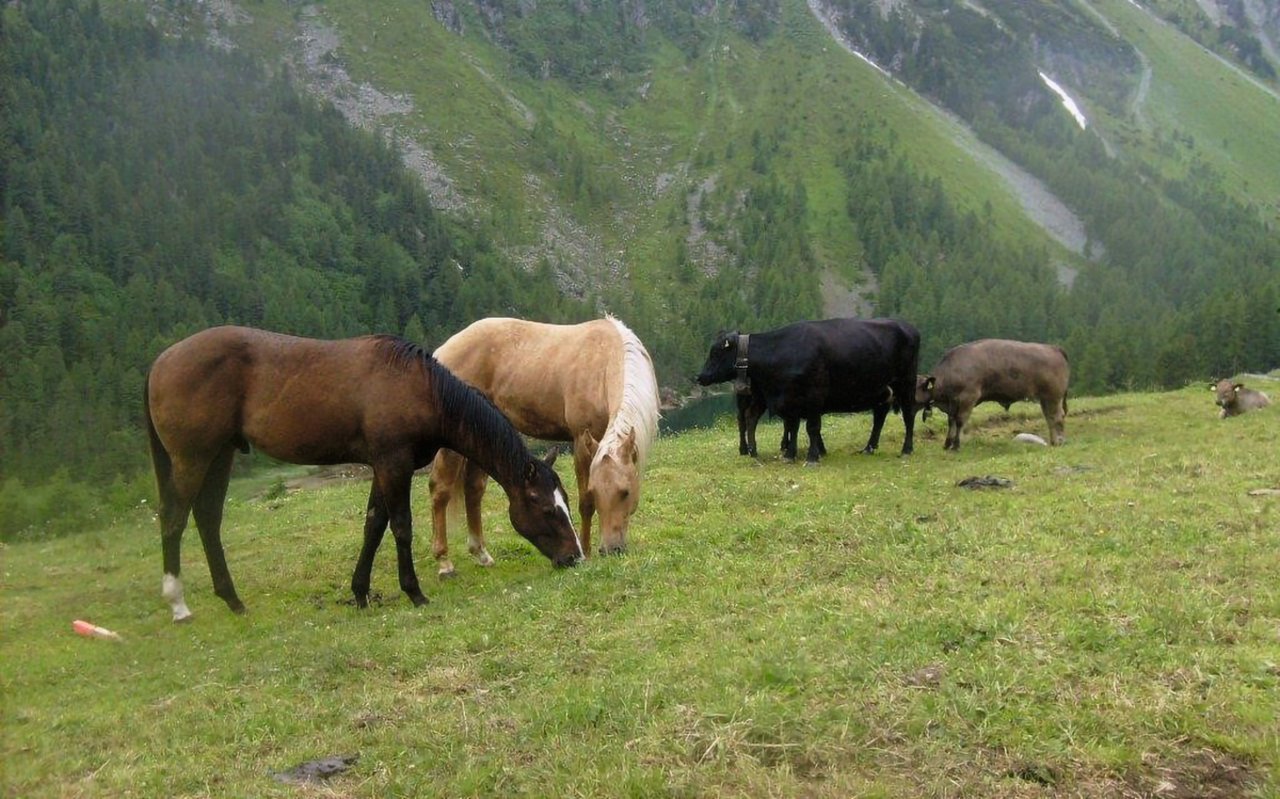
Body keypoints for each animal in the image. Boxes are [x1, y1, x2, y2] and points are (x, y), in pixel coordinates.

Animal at [145, 326, 581, 624]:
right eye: (546, 509)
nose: (575, 557)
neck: (419, 388)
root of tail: (161, 361)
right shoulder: (393, 464)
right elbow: (401, 526)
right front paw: (414, 591)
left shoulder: (381, 467)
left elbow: (373, 525)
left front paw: (360, 593)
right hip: (193, 458)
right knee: (173, 518)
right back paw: (178, 603)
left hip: (220, 456)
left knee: (207, 519)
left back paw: (232, 599)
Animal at [430, 314, 660, 571]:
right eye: (596, 491)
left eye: (625, 492)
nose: (611, 549)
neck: (602, 361)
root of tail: (442, 352)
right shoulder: (580, 443)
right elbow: (585, 504)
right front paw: (586, 552)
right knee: (440, 489)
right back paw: (444, 562)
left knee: (473, 489)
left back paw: (481, 554)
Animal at [701, 318, 921, 460]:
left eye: (715, 352)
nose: (699, 376)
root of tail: (908, 327)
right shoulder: (789, 401)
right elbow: (793, 425)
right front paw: (791, 454)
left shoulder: (814, 396)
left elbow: (812, 427)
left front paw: (812, 456)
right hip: (881, 389)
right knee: (879, 415)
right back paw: (869, 447)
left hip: (906, 382)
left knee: (908, 414)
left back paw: (906, 449)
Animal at [916, 338, 1064, 450]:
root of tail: (1054, 348)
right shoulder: (953, 403)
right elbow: (951, 421)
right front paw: (947, 444)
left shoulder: (968, 398)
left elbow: (959, 421)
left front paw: (956, 446)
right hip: (1045, 398)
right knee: (1050, 418)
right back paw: (1054, 442)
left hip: (1053, 397)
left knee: (1057, 417)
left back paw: (1059, 441)